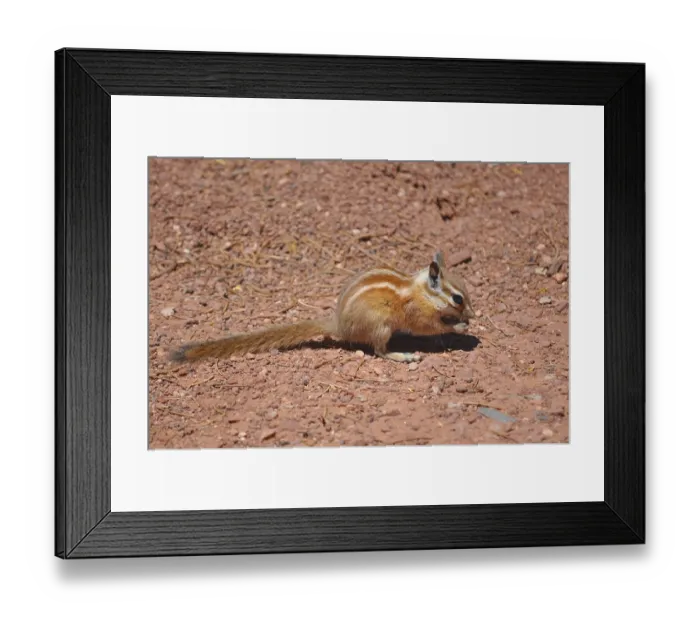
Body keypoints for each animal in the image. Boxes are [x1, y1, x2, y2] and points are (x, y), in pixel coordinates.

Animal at [170, 250, 476, 364]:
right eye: (458, 299)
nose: (473, 314)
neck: (421, 291)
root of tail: (338, 325)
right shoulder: (416, 314)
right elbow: (429, 326)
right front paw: (459, 326)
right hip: (381, 326)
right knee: (379, 351)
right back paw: (402, 355)